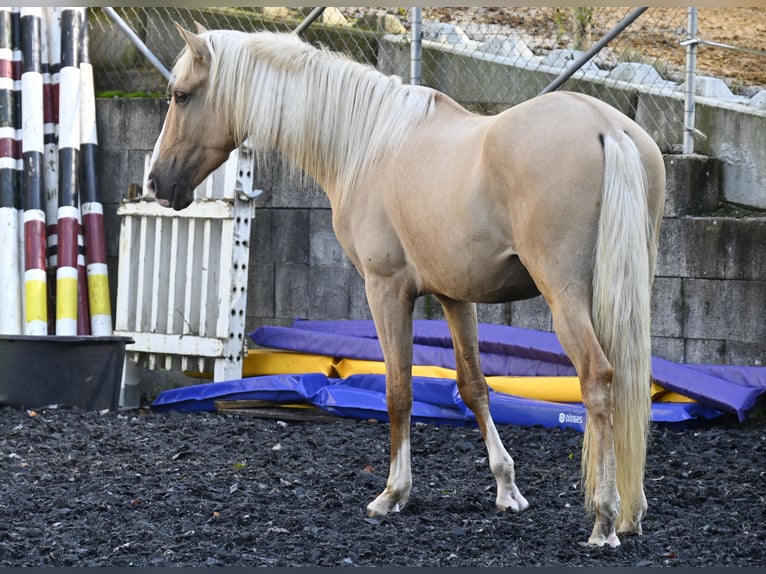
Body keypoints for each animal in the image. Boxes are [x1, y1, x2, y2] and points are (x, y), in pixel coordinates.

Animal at [144, 25, 664, 548]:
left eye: (181, 95)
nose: (156, 185)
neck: (368, 143)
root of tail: (607, 127)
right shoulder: (455, 297)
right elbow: (473, 387)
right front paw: (507, 489)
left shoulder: (386, 290)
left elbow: (399, 391)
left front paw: (393, 493)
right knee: (631, 381)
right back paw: (632, 513)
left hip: (566, 297)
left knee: (598, 378)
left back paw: (604, 519)